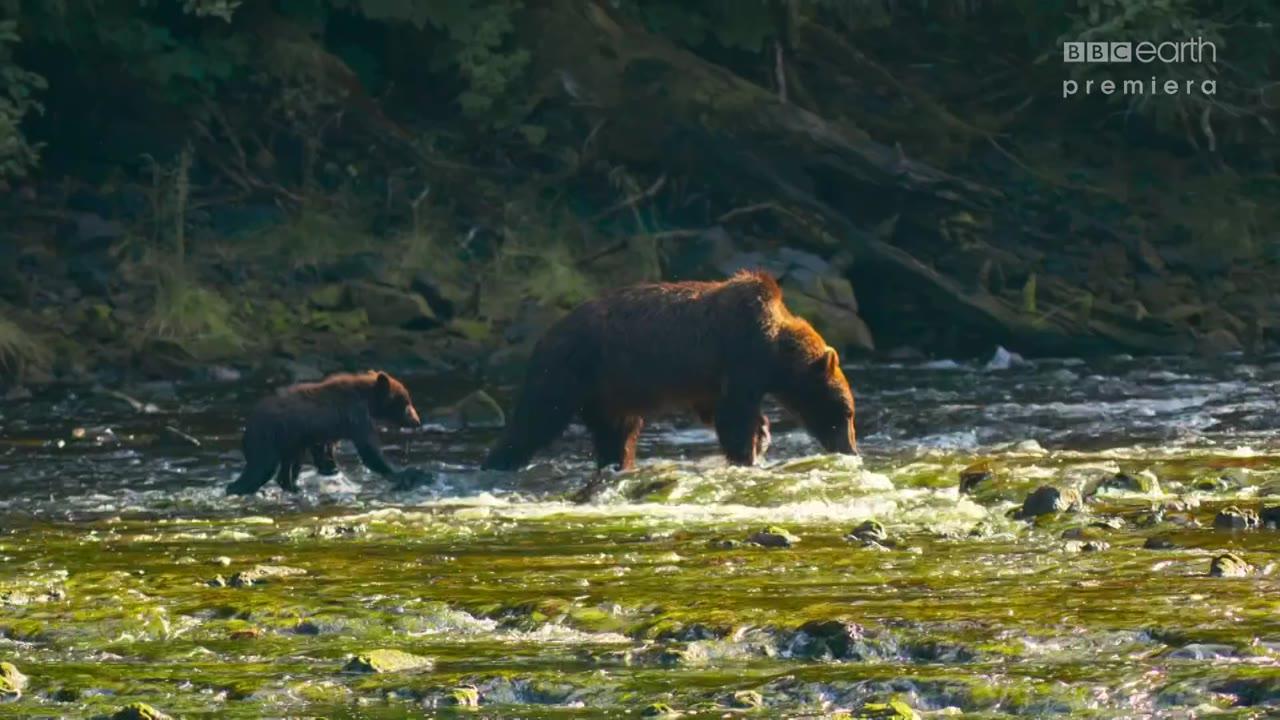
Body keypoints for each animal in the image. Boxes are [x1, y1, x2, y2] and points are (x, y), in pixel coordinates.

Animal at [483, 270, 855, 471]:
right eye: (847, 411)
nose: (851, 450)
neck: (773, 350)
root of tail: (545, 335)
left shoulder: (713, 379)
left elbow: (718, 411)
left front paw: (761, 436)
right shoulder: (739, 355)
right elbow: (734, 415)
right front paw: (749, 451)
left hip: (609, 392)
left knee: (617, 434)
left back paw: (618, 465)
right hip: (570, 370)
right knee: (535, 419)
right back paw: (498, 461)